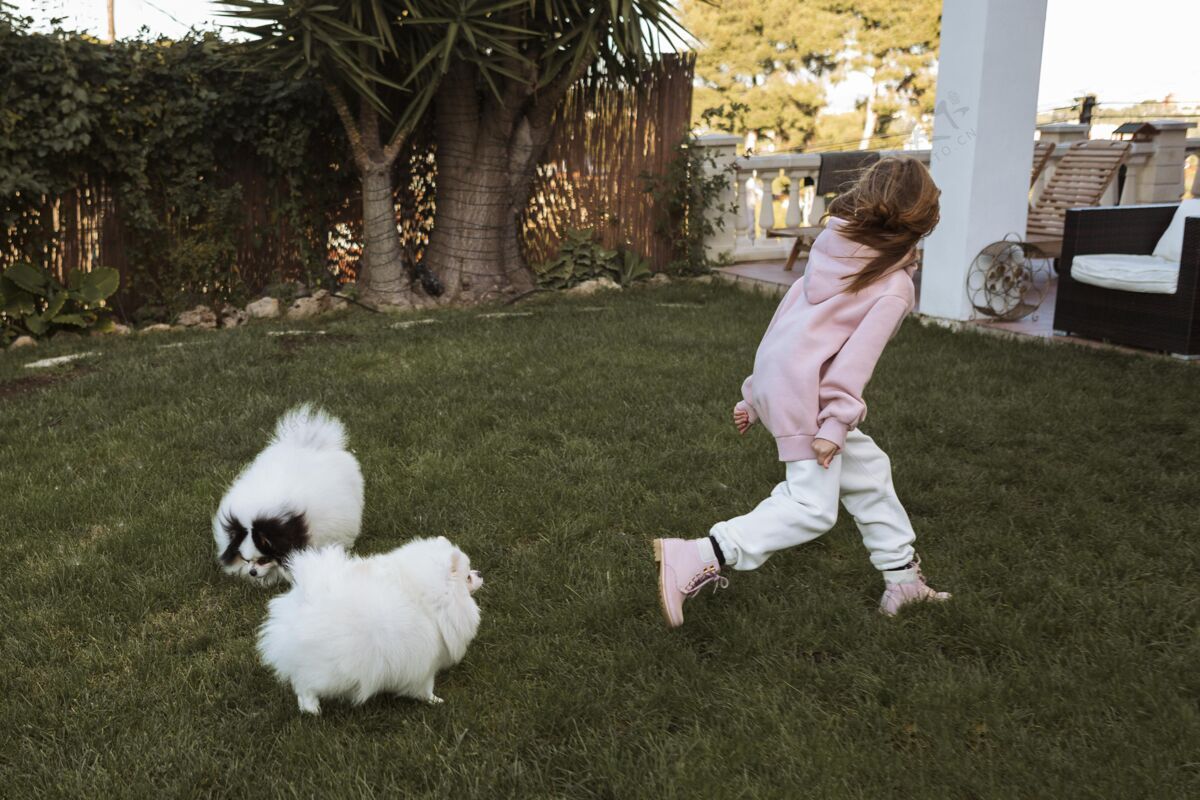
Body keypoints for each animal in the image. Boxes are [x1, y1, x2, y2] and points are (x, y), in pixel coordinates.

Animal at [258, 537, 482, 714]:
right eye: (467, 577)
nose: (479, 573)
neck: (431, 601)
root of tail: (303, 600)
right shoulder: (425, 662)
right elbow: (425, 688)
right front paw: (435, 701)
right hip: (331, 671)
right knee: (304, 684)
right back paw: (311, 708)